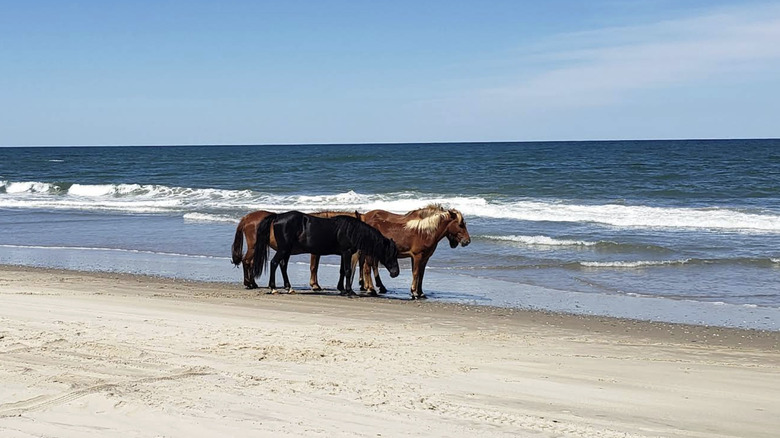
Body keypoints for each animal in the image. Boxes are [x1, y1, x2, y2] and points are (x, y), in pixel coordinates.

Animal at [231, 210, 359, 289]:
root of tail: (247, 218)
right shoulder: (316, 252)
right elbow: (314, 267)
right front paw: (315, 285)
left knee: (250, 263)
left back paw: (252, 283)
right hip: (254, 247)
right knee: (247, 261)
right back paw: (249, 283)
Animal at [251, 211, 400, 296]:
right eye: (391, 254)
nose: (396, 273)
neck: (351, 230)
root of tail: (277, 217)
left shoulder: (343, 254)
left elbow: (342, 271)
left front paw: (342, 289)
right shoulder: (347, 253)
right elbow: (347, 271)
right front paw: (350, 291)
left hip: (287, 250)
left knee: (283, 266)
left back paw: (289, 288)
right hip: (283, 249)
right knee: (274, 263)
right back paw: (273, 288)